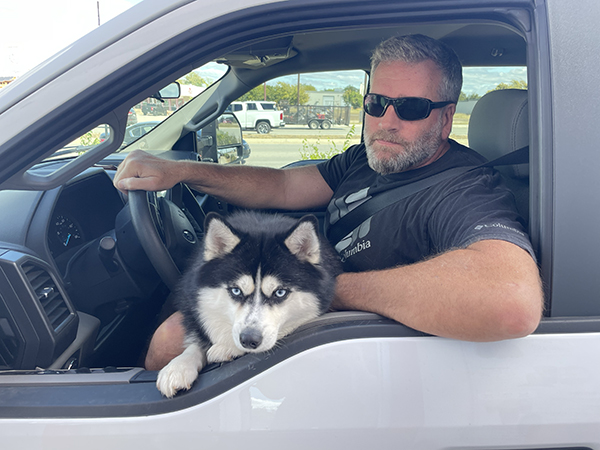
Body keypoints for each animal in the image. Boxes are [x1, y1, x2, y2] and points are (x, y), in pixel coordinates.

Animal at [156, 211, 342, 398]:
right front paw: (178, 367)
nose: (248, 340)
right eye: (236, 291)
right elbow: (196, 341)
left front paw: (228, 347)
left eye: (279, 292)